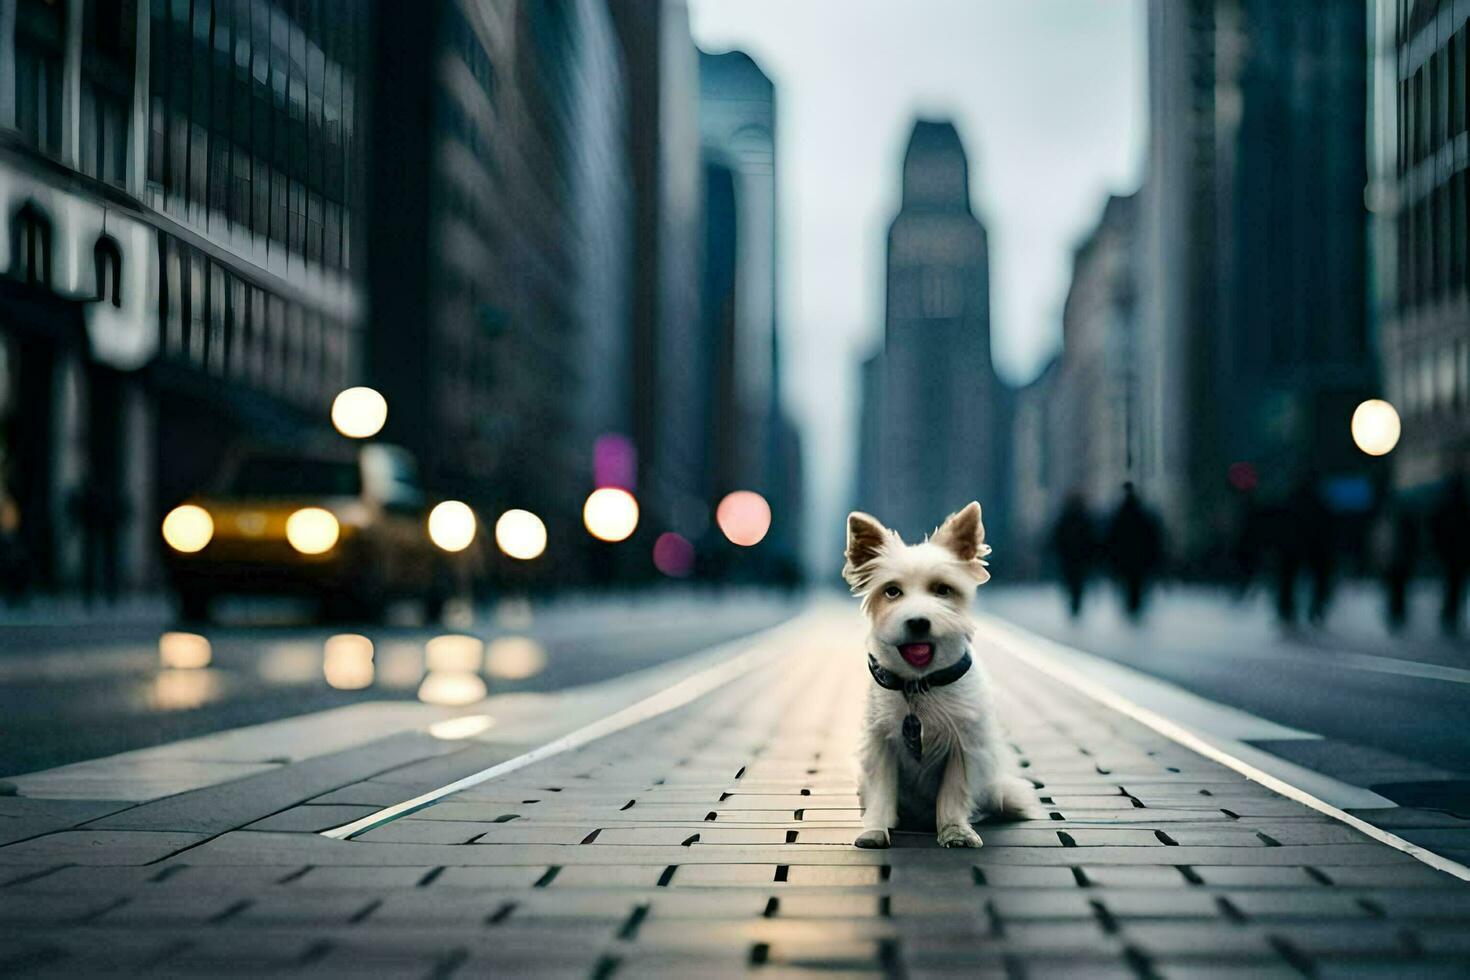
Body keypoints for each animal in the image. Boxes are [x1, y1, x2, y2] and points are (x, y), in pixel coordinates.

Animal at [846, 502, 1040, 846]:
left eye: (942, 590)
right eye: (892, 592)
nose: (918, 622)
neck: (919, 684)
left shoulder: (964, 746)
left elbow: (953, 793)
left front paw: (955, 831)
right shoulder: (880, 743)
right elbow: (882, 792)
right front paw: (875, 829)